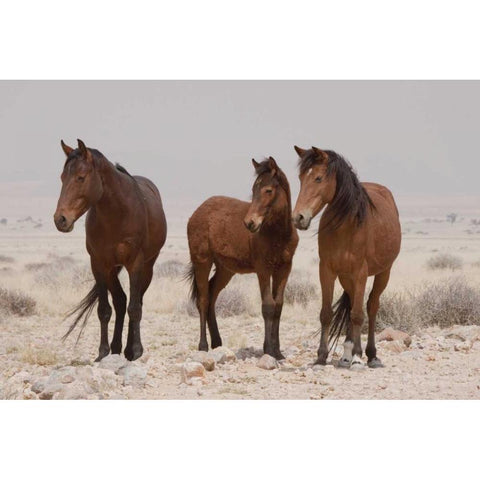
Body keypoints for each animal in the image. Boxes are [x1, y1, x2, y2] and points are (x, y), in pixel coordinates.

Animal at [53, 139, 167, 360]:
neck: (116, 214)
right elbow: (105, 310)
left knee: (136, 300)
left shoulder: (135, 263)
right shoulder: (99, 264)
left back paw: (129, 349)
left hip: (148, 267)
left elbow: (135, 308)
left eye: (81, 177)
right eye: (62, 177)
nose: (60, 219)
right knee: (120, 301)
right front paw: (103, 352)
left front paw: (136, 351)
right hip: (112, 269)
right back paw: (116, 348)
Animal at [187, 156, 296, 358]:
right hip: (202, 262)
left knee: (212, 297)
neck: (278, 234)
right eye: (253, 190)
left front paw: (277, 352)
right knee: (203, 300)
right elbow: (268, 306)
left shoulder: (284, 268)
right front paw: (268, 350)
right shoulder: (263, 269)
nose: (249, 223)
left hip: (225, 270)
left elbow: (278, 306)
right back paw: (203, 346)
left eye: (268, 190)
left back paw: (217, 343)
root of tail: (197, 212)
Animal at [292, 146, 402, 368]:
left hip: (383, 273)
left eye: (318, 178)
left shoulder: (360, 272)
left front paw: (358, 358)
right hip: (346, 277)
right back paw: (346, 355)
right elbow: (326, 314)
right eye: (301, 178)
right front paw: (321, 356)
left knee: (371, 307)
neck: (346, 226)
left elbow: (358, 315)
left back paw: (370, 355)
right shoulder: (327, 270)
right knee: (352, 304)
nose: (298, 218)